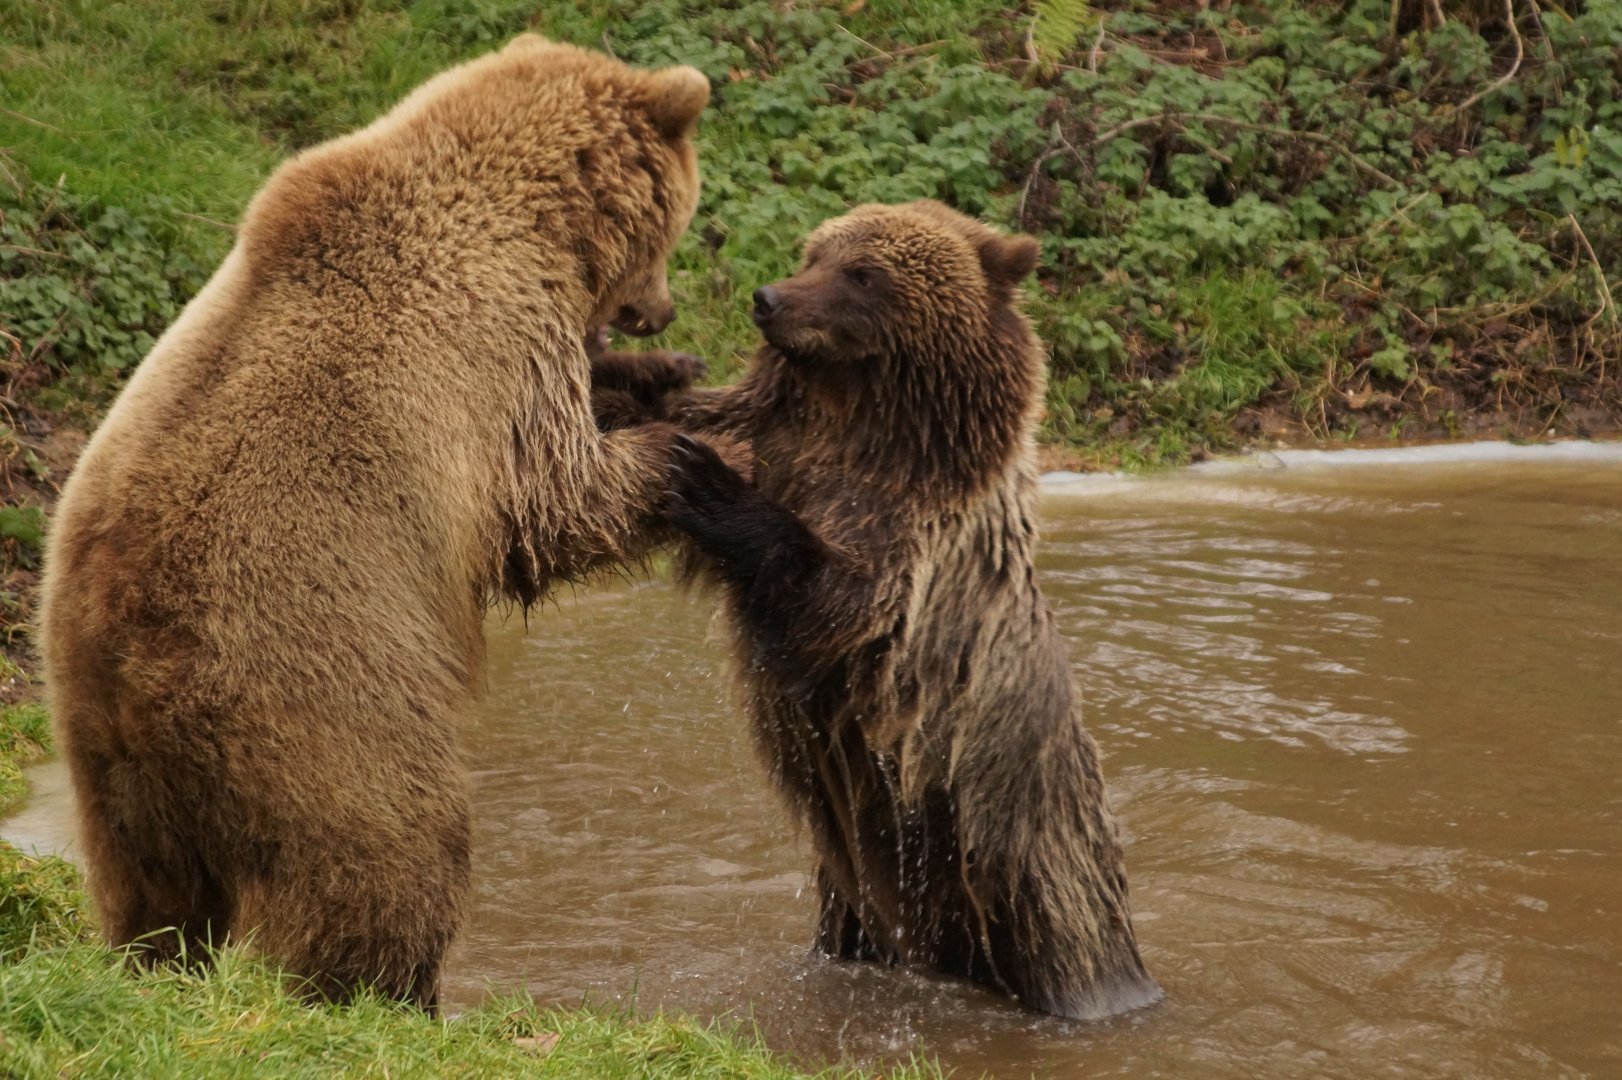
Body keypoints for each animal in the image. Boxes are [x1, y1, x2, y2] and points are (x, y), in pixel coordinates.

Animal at [39, 35, 714, 1009]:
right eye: (683, 219)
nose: (664, 311)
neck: (537, 224)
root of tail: (126, 656)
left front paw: (663, 374)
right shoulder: (485, 347)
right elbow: (549, 503)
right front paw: (678, 452)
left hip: (103, 760)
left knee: (150, 894)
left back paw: (156, 962)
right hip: (317, 684)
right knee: (388, 849)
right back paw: (389, 993)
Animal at [658, 201, 1161, 1020]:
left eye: (863, 273)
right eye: (815, 252)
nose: (769, 298)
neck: (866, 425)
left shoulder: (909, 559)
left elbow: (835, 604)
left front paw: (703, 479)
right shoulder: (783, 441)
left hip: (1028, 856)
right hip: (856, 892)